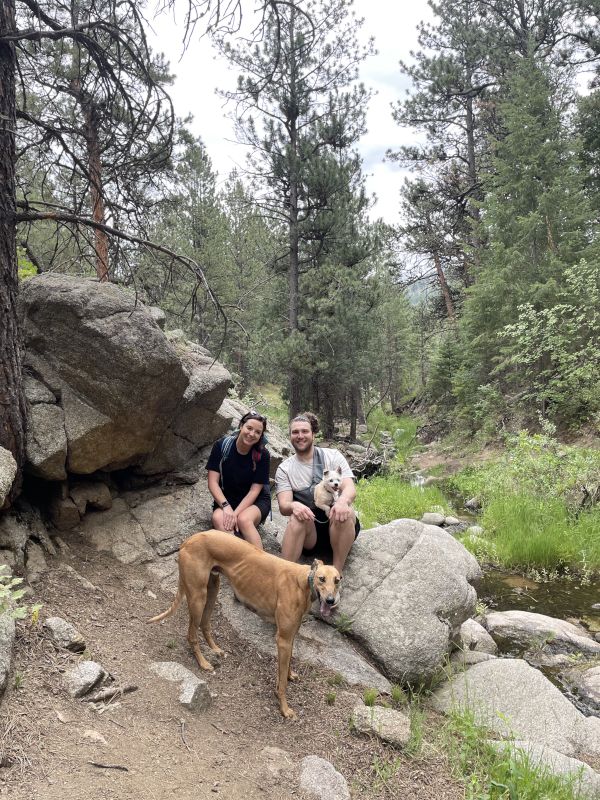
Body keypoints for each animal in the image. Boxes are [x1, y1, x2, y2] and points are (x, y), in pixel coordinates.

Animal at [148, 532, 340, 720]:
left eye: (338, 580)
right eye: (322, 579)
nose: (331, 601)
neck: (303, 582)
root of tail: (189, 539)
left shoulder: (291, 635)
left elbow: (287, 665)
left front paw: (289, 675)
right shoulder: (283, 639)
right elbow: (282, 684)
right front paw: (284, 709)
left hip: (212, 589)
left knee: (205, 623)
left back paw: (215, 649)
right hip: (197, 597)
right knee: (191, 635)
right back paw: (203, 662)